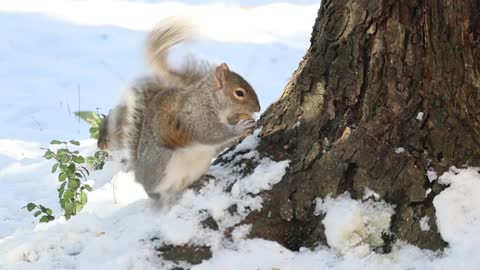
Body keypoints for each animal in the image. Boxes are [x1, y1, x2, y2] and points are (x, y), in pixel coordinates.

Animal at [118, 17, 262, 199]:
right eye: (239, 93)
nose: (258, 108)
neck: (210, 99)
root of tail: (139, 175)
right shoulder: (196, 115)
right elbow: (209, 133)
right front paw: (239, 128)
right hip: (163, 162)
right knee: (156, 190)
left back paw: (200, 180)